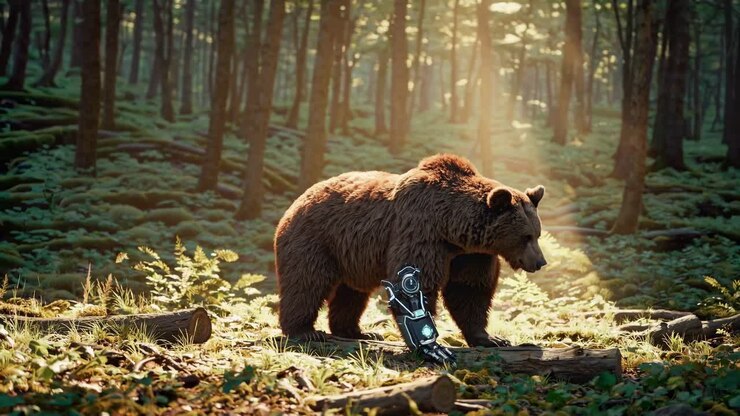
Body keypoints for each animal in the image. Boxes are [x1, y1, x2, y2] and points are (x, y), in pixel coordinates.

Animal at [274, 154, 547, 347]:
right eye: (525, 236)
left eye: (537, 234)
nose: (540, 262)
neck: (451, 228)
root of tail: (297, 201)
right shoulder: (420, 232)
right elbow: (418, 282)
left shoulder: (471, 255)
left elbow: (469, 290)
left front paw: (490, 338)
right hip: (317, 239)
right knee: (307, 282)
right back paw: (305, 332)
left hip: (350, 256)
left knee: (351, 293)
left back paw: (358, 331)